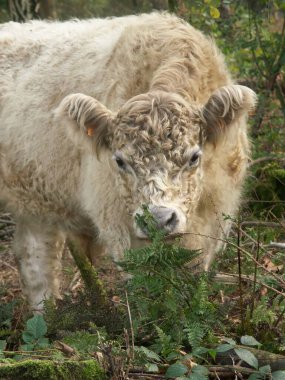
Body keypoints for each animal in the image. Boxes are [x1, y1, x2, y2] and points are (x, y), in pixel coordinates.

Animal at [0, 13, 255, 310]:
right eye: (120, 161)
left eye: (194, 157)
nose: (158, 220)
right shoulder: (120, 225)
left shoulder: (211, 221)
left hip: (36, 204)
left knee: (35, 256)